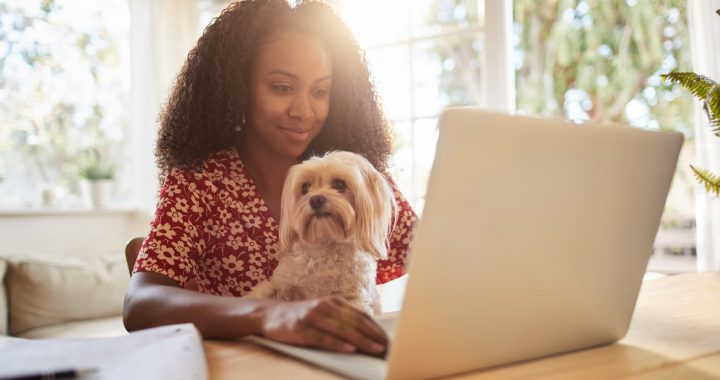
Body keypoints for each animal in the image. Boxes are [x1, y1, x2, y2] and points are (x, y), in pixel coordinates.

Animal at [245, 151, 396, 314]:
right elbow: (265, 292)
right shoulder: (281, 285)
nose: (315, 200)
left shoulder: (353, 296)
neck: (324, 243)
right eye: (305, 187)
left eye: (339, 184)